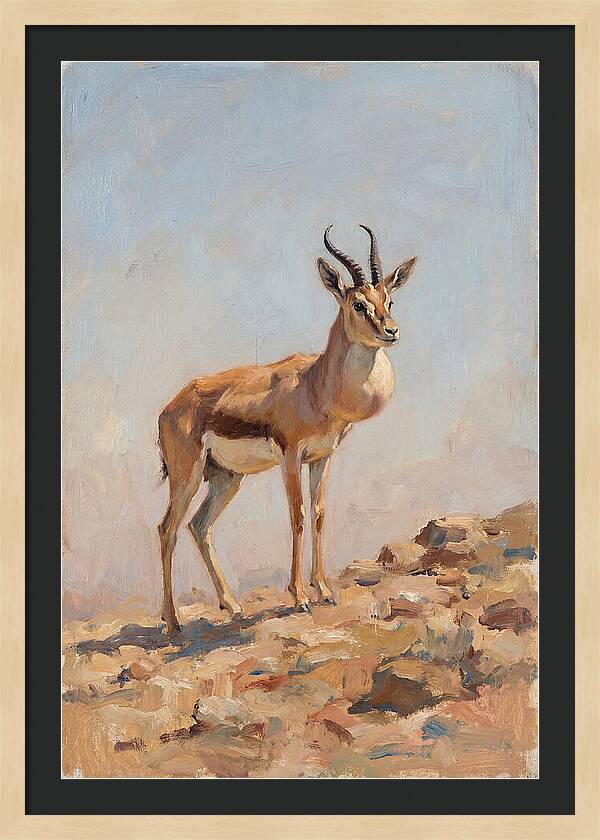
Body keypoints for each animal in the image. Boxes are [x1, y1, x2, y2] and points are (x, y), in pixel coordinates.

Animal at [157, 225, 416, 633]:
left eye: (389, 299)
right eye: (358, 304)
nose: (391, 331)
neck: (315, 385)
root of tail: (170, 407)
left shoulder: (322, 457)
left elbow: (320, 515)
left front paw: (324, 590)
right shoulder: (291, 456)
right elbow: (297, 516)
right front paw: (299, 597)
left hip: (226, 477)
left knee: (198, 526)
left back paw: (233, 607)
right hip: (188, 475)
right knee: (167, 529)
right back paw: (172, 623)